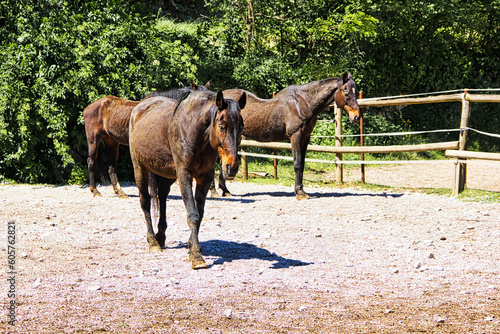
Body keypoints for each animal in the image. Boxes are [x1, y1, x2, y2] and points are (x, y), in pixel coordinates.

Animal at [129, 90, 246, 268]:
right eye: (221, 126)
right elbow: (192, 214)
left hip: (167, 174)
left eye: (242, 127)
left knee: (162, 197)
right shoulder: (184, 174)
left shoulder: (205, 178)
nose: (231, 168)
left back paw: (160, 236)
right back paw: (153, 242)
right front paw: (197, 256)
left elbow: (199, 214)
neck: (195, 131)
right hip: (140, 168)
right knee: (145, 202)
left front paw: (192, 247)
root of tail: (139, 108)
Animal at [218, 72, 360, 200]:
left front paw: (302, 190)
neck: (302, 104)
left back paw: (225, 190)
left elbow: (302, 164)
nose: (356, 117)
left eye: (355, 91)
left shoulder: (305, 138)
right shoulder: (295, 136)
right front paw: (299, 193)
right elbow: (297, 164)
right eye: (346, 91)